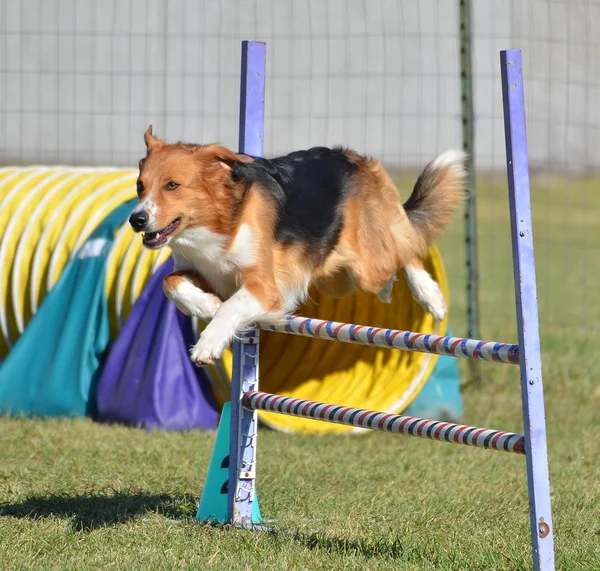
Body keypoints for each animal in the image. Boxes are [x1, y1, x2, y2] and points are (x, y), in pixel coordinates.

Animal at [131, 126, 466, 366]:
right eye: (140, 185)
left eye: (172, 185)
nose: (136, 219)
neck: (222, 219)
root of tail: (353, 158)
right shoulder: (204, 271)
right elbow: (170, 282)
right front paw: (207, 305)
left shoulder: (265, 287)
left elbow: (232, 306)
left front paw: (208, 342)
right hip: (337, 277)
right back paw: (392, 290)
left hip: (367, 267)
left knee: (404, 248)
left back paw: (430, 296)